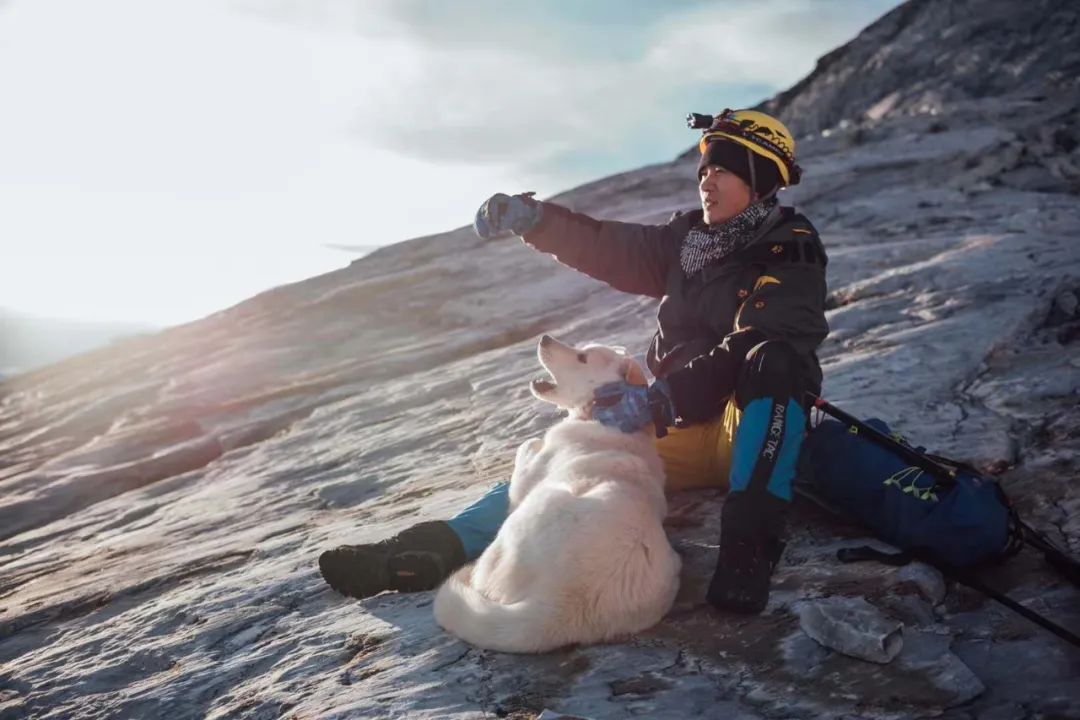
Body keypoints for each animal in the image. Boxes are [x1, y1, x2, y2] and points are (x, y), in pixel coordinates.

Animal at [432, 334, 678, 656]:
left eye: (582, 357)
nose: (544, 338)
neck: (597, 415)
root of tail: (562, 604)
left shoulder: (524, 484)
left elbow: (525, 454)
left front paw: (530, 445)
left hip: (526, 515)